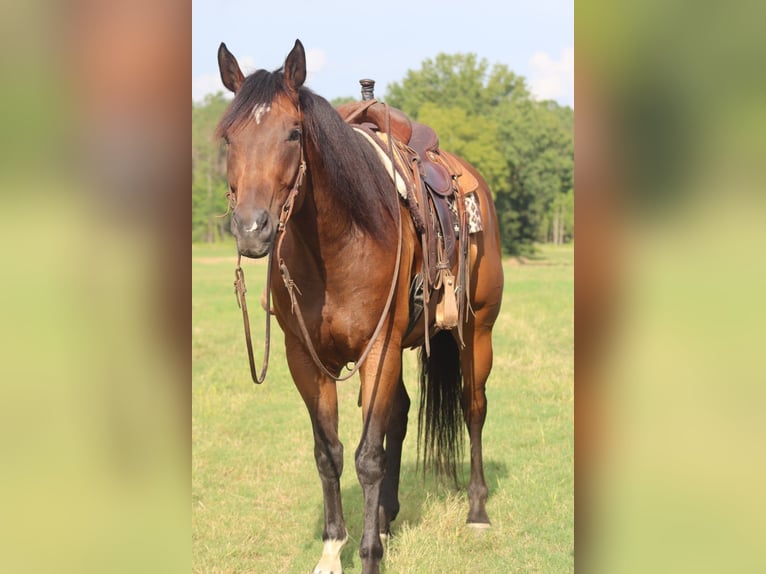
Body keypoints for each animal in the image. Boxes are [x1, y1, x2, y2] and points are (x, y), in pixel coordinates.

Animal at [216, 39, 504, 574]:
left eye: (294, 132)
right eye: (229, 138)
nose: (251, 228)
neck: (338, 242)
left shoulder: (379, 348)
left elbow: (368, 456)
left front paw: (369, 555)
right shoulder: (304, 358)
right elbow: (329, 452)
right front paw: (335, 549)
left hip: (477, 331)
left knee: (472, 408)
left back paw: (476, 512)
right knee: (401, 415)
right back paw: (387, 518)